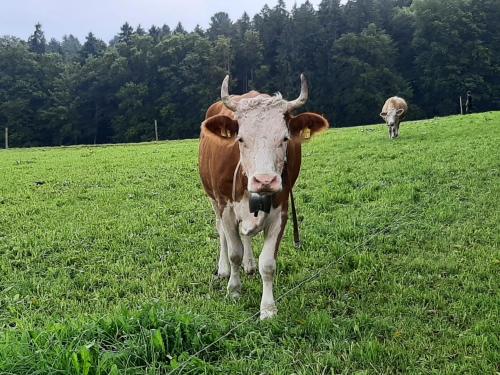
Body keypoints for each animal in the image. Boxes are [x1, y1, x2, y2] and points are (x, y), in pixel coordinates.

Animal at [197, 74, 330, 320]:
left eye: (285, 138)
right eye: (240, 139)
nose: (265, 180)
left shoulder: (281, 211)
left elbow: (267, 264)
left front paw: (268, 308)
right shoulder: (226, 207)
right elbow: (234, 252)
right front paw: (234, 290)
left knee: (246, 236)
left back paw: (249, 265)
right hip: (212, 199)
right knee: (221, 233)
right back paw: (223, 269)